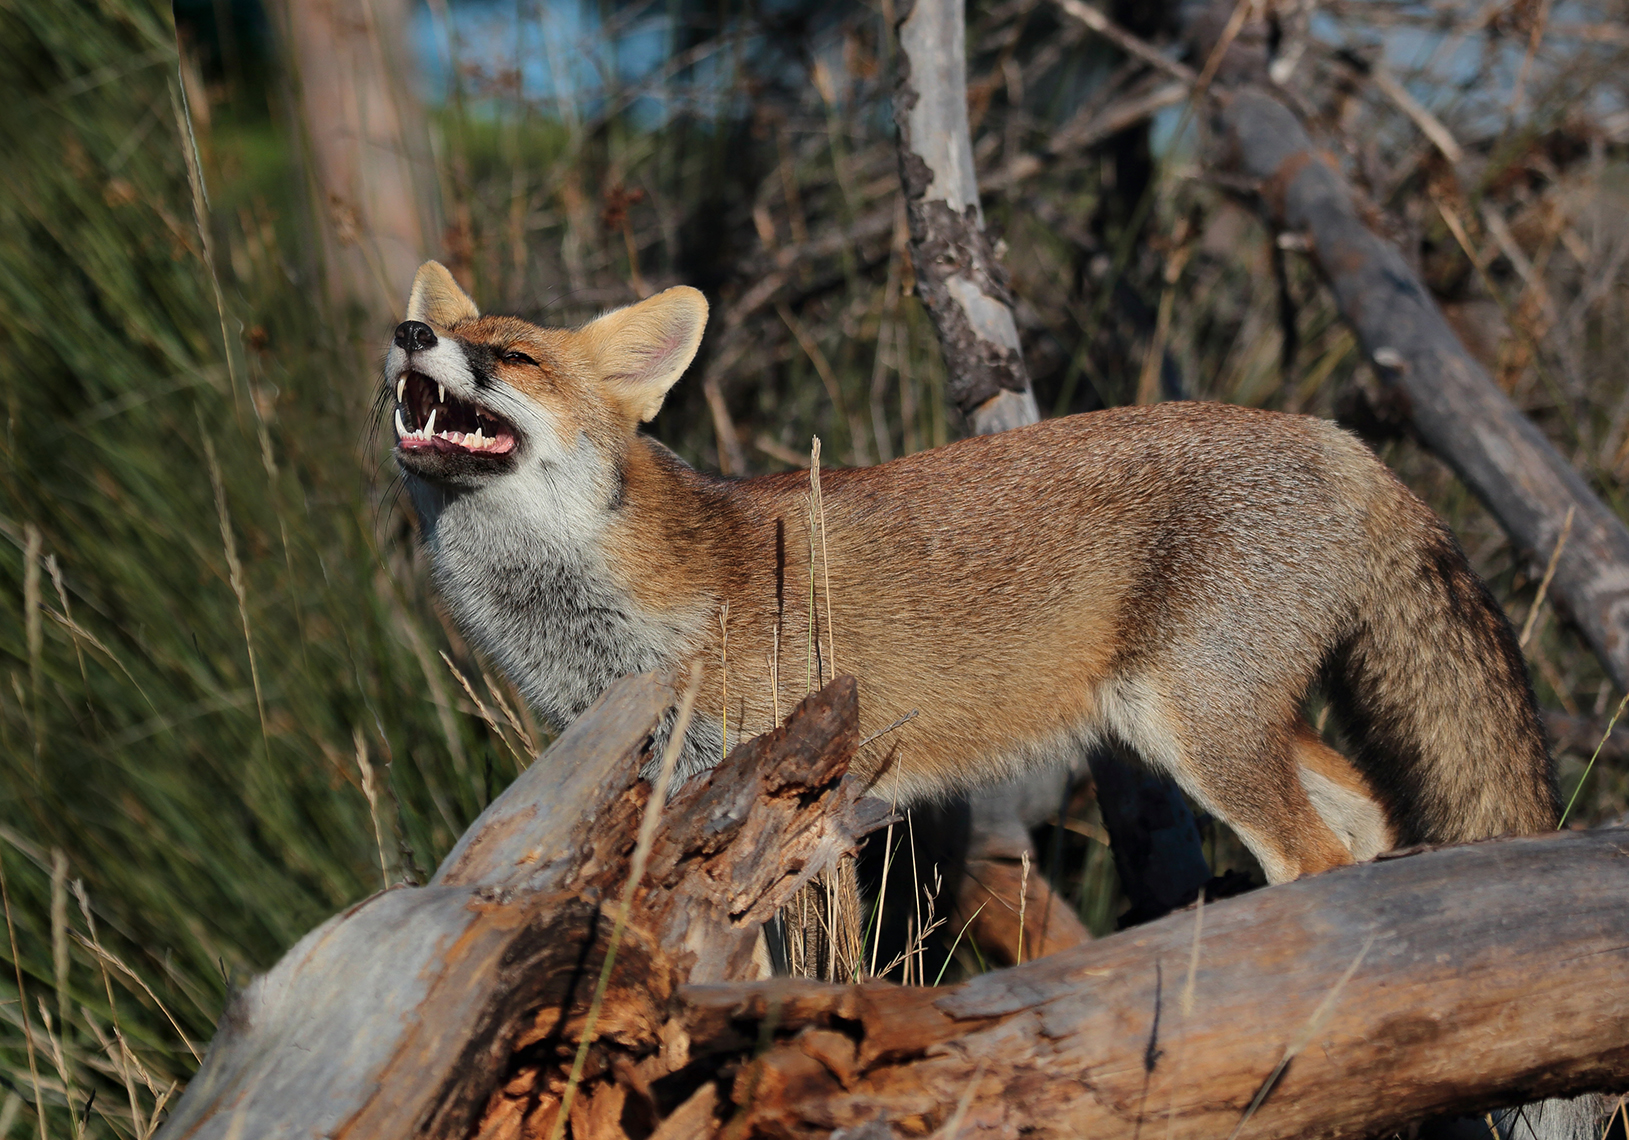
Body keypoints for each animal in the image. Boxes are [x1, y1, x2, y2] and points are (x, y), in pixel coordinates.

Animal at [384, 259, 1558, 886]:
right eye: (441, 331)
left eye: (516, 358)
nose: (405, 332)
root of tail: (1336, 439)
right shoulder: (687, 801)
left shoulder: (787, 787)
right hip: (1199, 719)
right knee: (1369, 818)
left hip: (1197, 726)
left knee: (1316, 859)